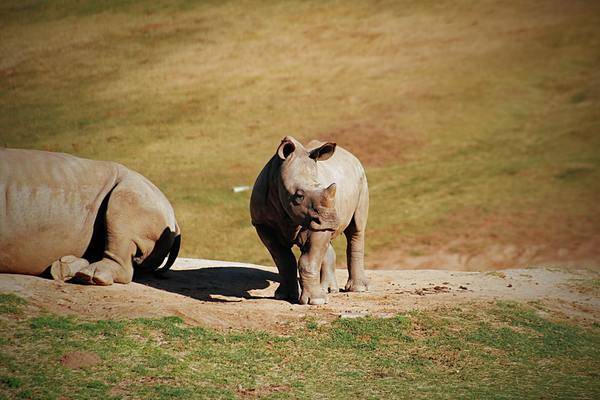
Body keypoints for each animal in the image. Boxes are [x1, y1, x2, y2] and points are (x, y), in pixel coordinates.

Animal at [250, 136, 370, 304]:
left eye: (323, 185)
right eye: (299, 195)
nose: (331, 219)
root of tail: (352, 156)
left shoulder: (317, 219)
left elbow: (308, 260)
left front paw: (316, 301)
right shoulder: (262, 224)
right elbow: (283, 260)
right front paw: (284, 296)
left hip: (361, 180)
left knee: (356, 229)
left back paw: (357, 289)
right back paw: (328, 290)